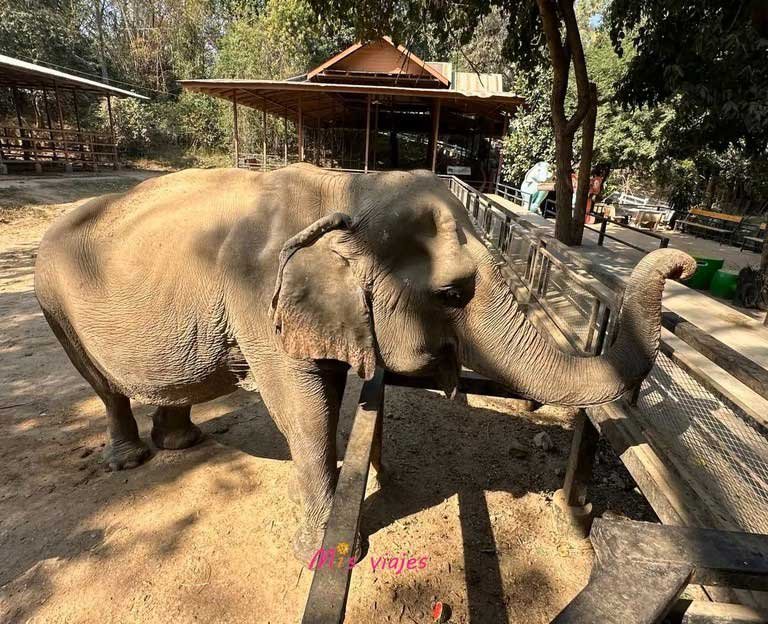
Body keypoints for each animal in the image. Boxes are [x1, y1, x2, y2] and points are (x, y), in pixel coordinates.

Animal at [34, 163, 695, 561]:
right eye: (451, 294)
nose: (684, 263)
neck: (346, 188)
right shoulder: (258, 296)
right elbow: (300, 406)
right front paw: (329, 554)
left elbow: (327, 392)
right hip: (52, 302)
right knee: (100, 385)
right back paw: (129, 459)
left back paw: (181, 443)